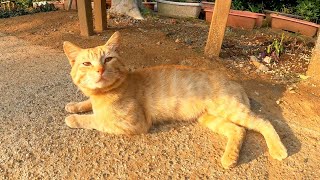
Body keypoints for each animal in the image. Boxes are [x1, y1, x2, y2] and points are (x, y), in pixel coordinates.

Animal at [62, 32, 288, 169]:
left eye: (108, 59)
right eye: (86, 63)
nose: (100, 70)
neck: (103, 94)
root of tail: (234, 81)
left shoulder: (133, 123)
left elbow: (96, 119)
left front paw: (73, 119)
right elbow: (88, 104)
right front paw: (74, 105)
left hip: (231, 110)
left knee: (264, 122)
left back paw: (278, 150)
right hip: (209, 118)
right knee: (238, 130)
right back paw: (230, 158)